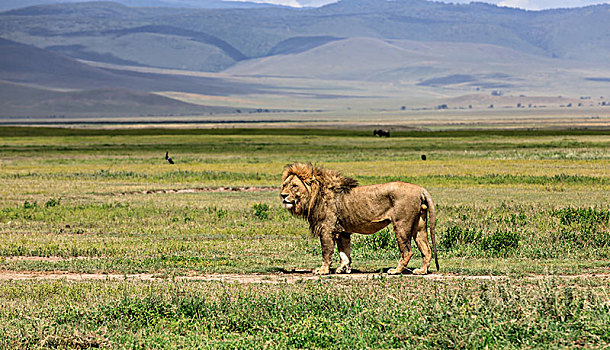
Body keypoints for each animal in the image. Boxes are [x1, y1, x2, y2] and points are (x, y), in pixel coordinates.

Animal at [280, 163, 436, 274]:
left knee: (407, 251)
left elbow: (327, 251)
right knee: (427, 250)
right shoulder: (342, 231)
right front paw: (343, 269)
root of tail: (420, 189)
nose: (283, 195)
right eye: (284, 185)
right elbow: (344, 252)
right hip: (419, 226)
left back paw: (396, 271)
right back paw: (422, 271)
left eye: (294, 186)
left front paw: (323, 270)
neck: (314, 196)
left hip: (401, 225)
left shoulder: (327, 229)